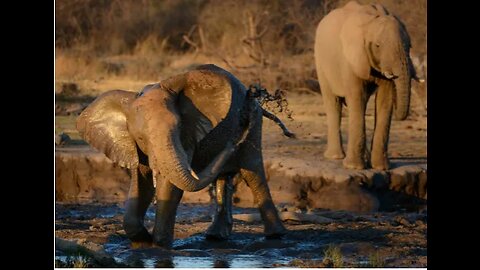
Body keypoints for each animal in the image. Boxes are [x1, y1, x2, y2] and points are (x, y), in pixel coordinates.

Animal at [77, 63, 290, 249]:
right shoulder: (136, 147)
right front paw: (142, 243)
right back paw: (215, 236)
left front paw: (159, 247)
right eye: (141, 138)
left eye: (177, 129)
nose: (239, 130)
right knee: (223, 177)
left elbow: (168, 185)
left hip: (255, 122)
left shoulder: (187, 134)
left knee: (253, 172)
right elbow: (141, 182)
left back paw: (275, 235)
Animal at [316, 1, 416, 170]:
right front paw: (353, 167)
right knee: (333, 102)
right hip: (320, 62)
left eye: (409, 46)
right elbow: (357, 97)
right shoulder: (350, 60)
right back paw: (335, 157)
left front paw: (381, 168)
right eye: (377, 46)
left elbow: (385, 99)